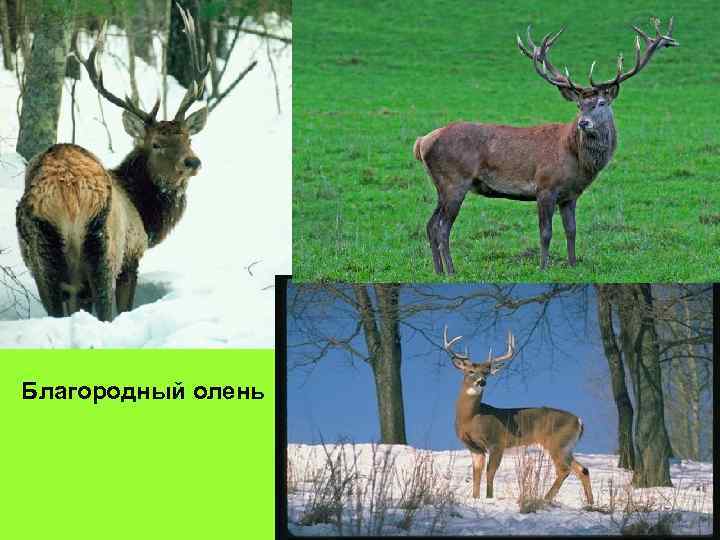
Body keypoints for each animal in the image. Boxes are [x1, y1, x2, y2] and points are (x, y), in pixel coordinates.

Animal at [16, 7, 211, 321]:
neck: (145, 213)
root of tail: (66, 193)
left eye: (188, 138)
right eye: (156, 144)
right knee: (106, 310)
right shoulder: (132, 257)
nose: (192, 161)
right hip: (104, 249)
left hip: (41, 256)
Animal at [414, 17, 678, 274]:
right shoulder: (545, 187)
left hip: (441, 185)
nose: (583, 123)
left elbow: (572, 230)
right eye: (580, 105)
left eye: (601, 103)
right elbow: (546, 233)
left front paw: (573, 265)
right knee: (442, 227)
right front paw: (543, 268)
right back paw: (451, 270)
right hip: (455, 180)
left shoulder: (570, 195)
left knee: (430, 224)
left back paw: (438, 270)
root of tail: (422, 142)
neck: (576, 161)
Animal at [443, 325, 594, 505]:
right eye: (470, 371)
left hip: (555, 442)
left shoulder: (497, 442)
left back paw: (544, 498)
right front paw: (475, 498)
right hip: (566, 446)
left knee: (564, 469)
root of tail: (579, 421)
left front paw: (489, 497)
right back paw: (590, 502)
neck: (470, 418)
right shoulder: (474, 447)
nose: (482, 382)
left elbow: (490, 472)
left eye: (486, 373)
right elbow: (476, 474)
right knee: (582, 469)